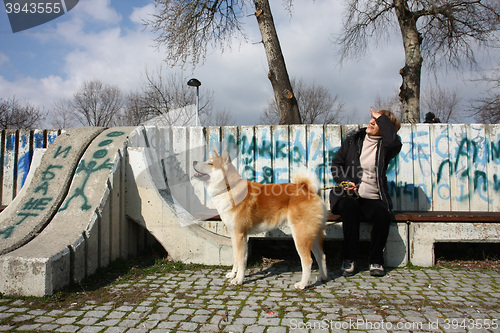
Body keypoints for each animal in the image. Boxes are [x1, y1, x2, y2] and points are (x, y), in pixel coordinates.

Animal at [192, 150, 328, 288]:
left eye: (210, 163)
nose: (194, 161)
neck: (230, 188)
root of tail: (308, 189)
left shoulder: (240, 235)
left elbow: (241, 261)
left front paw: (239, 279)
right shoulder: (234, 235)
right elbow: (235, 258)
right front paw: (233, 274)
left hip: (301, 236)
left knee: (308, 260)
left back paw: (302, 284)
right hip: (312, 235)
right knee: (321, 256)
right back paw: (322, 277)